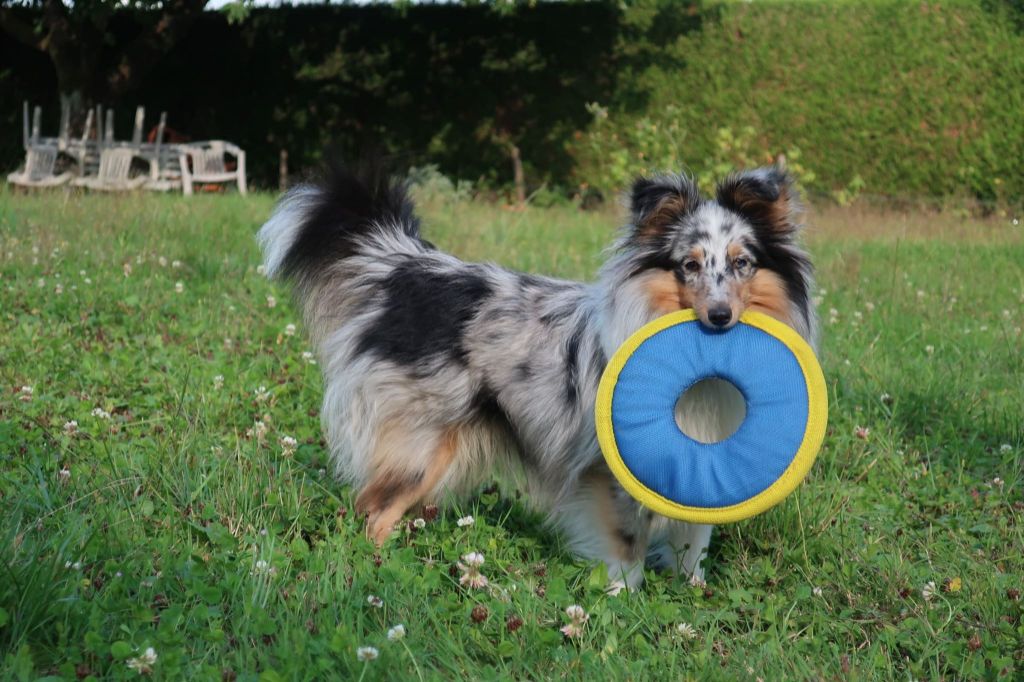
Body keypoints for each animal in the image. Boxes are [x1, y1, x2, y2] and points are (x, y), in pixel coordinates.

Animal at [258, 160, 815, 589]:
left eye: (742, 264)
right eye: (689, 266)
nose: (719, 318)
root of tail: (413, 270)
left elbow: (694, 540)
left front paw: (694, 591)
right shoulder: (609, 471)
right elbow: (627, 547)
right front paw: (623, 599)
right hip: (422, 448)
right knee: (374, 510)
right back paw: (379, 566)